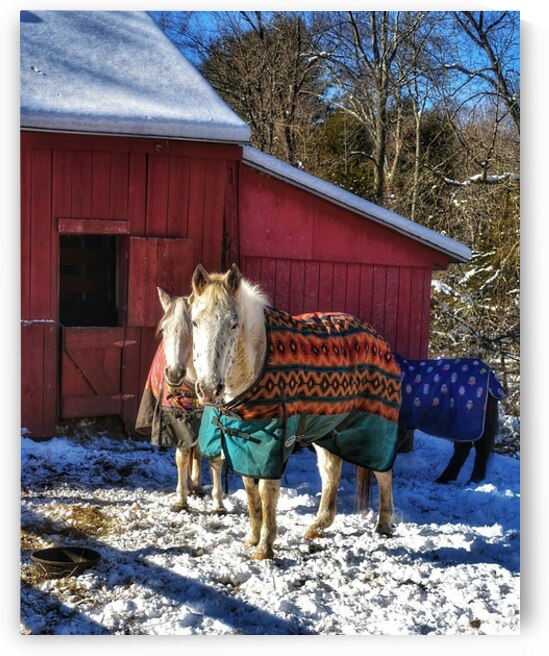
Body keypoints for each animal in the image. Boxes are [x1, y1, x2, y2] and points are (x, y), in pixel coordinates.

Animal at [135, 287, 225, 513]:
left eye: (192, 330)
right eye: (163, 330)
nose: (174, 374)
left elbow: (214, 458)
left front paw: (218, 503)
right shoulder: (178, 418)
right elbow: (182, 455)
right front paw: (181, 500)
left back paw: (197, 485)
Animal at [189, 264, 401, 560]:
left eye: (233, 323)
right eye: (195, 322)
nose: (209, 390)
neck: (258, 360)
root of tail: (380, 340)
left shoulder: (273, 443)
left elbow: (266, 493)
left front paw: (264, 548)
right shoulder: (244, 441)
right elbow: (250, 491)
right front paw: (252, 538)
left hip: (376, 428)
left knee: (384, 472)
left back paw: (383, 525)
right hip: (328, 430)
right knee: (331, 471)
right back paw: (318, 526)